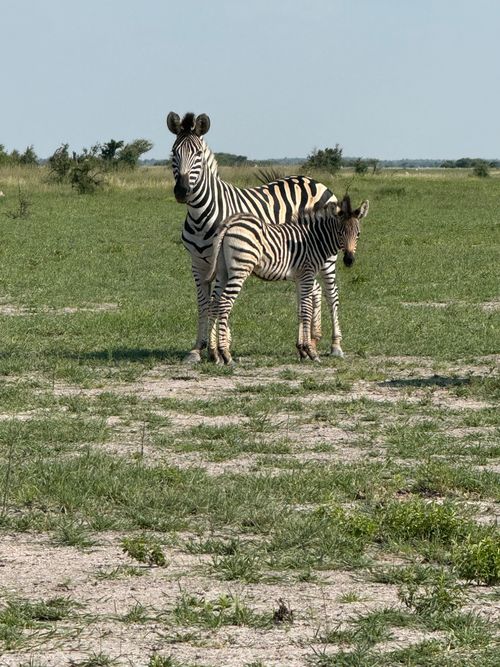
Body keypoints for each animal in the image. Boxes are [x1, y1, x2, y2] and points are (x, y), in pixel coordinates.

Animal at [167, 111, 347, 363]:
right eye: (174, 152)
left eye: (198, 155)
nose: (182, 191)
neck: (201, 216)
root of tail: (314, 181)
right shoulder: (198, 263)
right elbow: (204, 305)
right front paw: (199, 348)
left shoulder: (221, 262)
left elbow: (216, 302)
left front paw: (219, 348)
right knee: (313, 292)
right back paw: (310, 341)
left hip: (327, 257)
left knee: (331, 294)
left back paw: (335, 345)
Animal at [207, 195, 369, 364]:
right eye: (340, 232)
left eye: (358, 234)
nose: (349, 260)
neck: (314, 240)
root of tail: (230, 223)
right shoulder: (307, 274)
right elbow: (307, 310)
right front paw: (311, 352)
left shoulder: (299, 278)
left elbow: (300, 310)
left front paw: (302, 349)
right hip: (240, 268)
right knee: (224, 302)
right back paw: (226, 354)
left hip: (222, 271)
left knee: (213, 304)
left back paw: (213, 353)